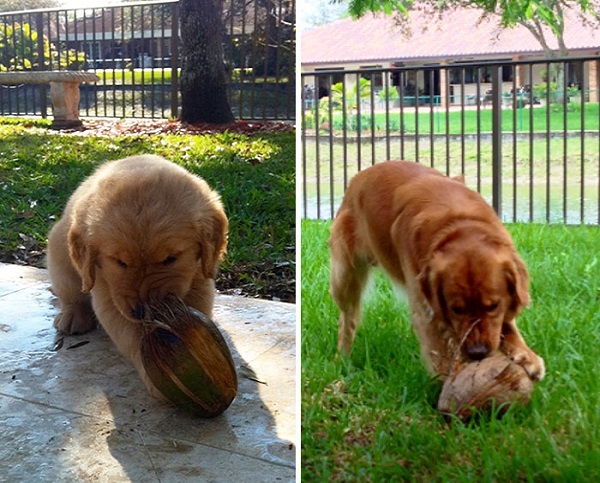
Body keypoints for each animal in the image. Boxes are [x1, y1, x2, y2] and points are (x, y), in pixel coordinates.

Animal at [47, 155, 227, 398]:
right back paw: (72, 315)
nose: (142, 312)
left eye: (170, 258)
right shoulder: (108, 294)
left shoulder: (199, 277)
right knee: (71, 293)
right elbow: (132, 334)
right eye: (119, 262)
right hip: (60, 254)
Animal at [330, 162, 548, 382]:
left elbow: (508, 323)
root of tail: (357, 178)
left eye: (493, 306)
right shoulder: (426, 309)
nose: (477, 352)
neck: (459, 224)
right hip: (344, 277)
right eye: (456, 309)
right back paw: (342, 359)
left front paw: (526, 354)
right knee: (347, 320)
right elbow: (439, 352)